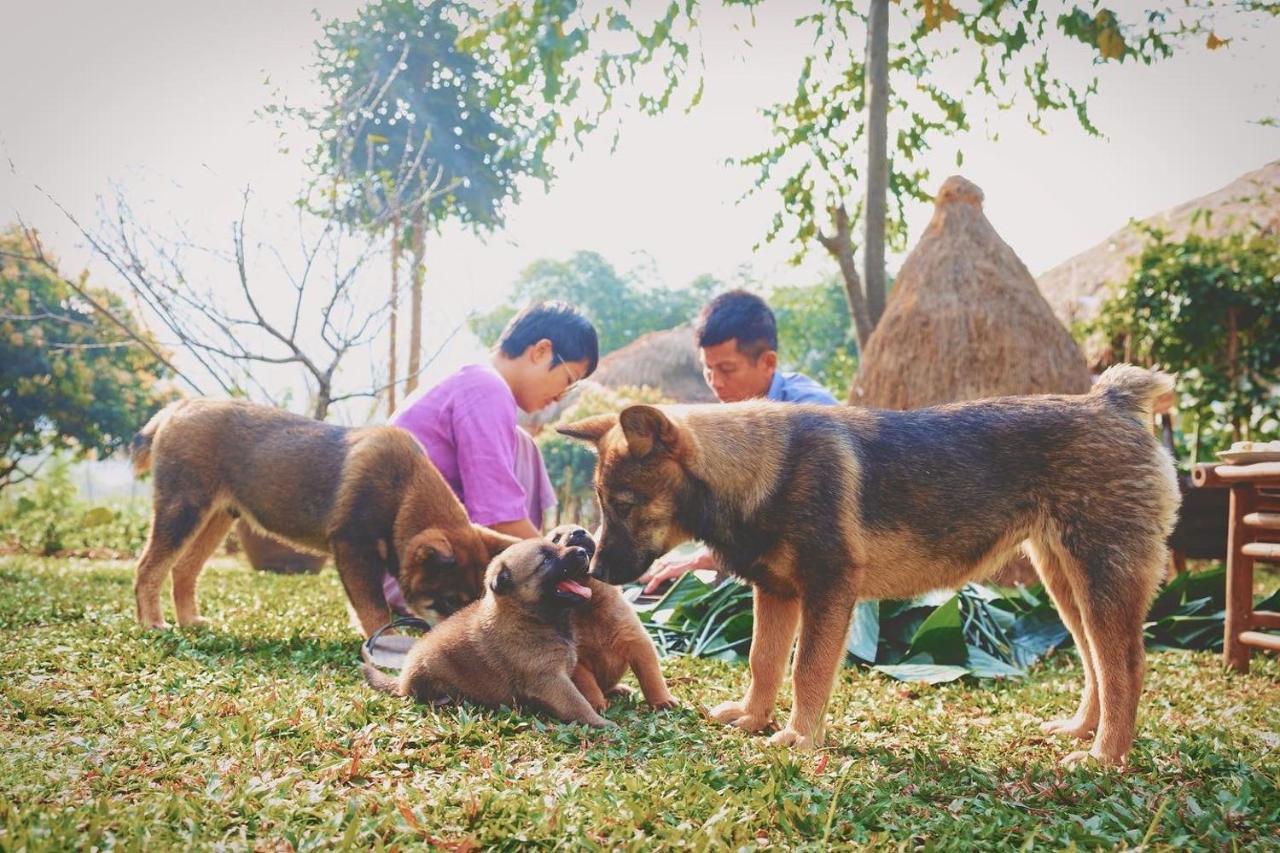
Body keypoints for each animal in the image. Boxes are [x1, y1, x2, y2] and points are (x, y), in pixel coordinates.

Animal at [132, 397, 522, 630]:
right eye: (449, 601)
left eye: (476, 601)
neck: (404, 488)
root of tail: (176, 408)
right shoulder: (353, 548)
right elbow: (375, 610)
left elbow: (365, 608)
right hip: (183, 510)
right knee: (148, 568)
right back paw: (152, 623)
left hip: (216, 518)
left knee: (182, 569)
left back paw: (189, 621)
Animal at [363, 532, 611, 722]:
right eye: (546, 561)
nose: (583, 552)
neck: (526, 616)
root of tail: (402, 681)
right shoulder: (551, 680)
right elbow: (578, 704)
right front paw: (603, 724)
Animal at [560, 361, 1177, 758]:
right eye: (602, 503)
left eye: (624, 504)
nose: (595, 573)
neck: (758, 469)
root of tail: (1110, 401)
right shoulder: (776, 595)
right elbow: (763, 663)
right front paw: (754, 719)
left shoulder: (829, 592)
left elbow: (807, 670)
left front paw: (800, 739)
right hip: (1065, 584)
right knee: (1097, 665)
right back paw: (1082, 731)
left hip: (1100, 581)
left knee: (1125, 667)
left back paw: (1106, 759)